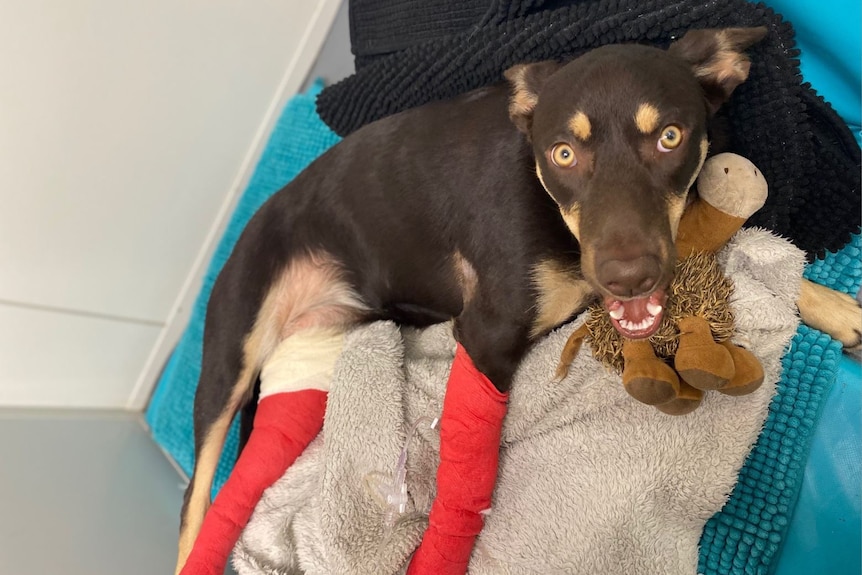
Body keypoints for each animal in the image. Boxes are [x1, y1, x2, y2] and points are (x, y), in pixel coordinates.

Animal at [177, 29, 862, 572]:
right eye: (564, 153)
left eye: (670, 136)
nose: (630, 279)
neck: (553, 212)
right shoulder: (488, 334)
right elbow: (469, 484)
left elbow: (742, 245)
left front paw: (839, 309)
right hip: (230, 355)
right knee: (197, 499)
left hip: (321, 351)